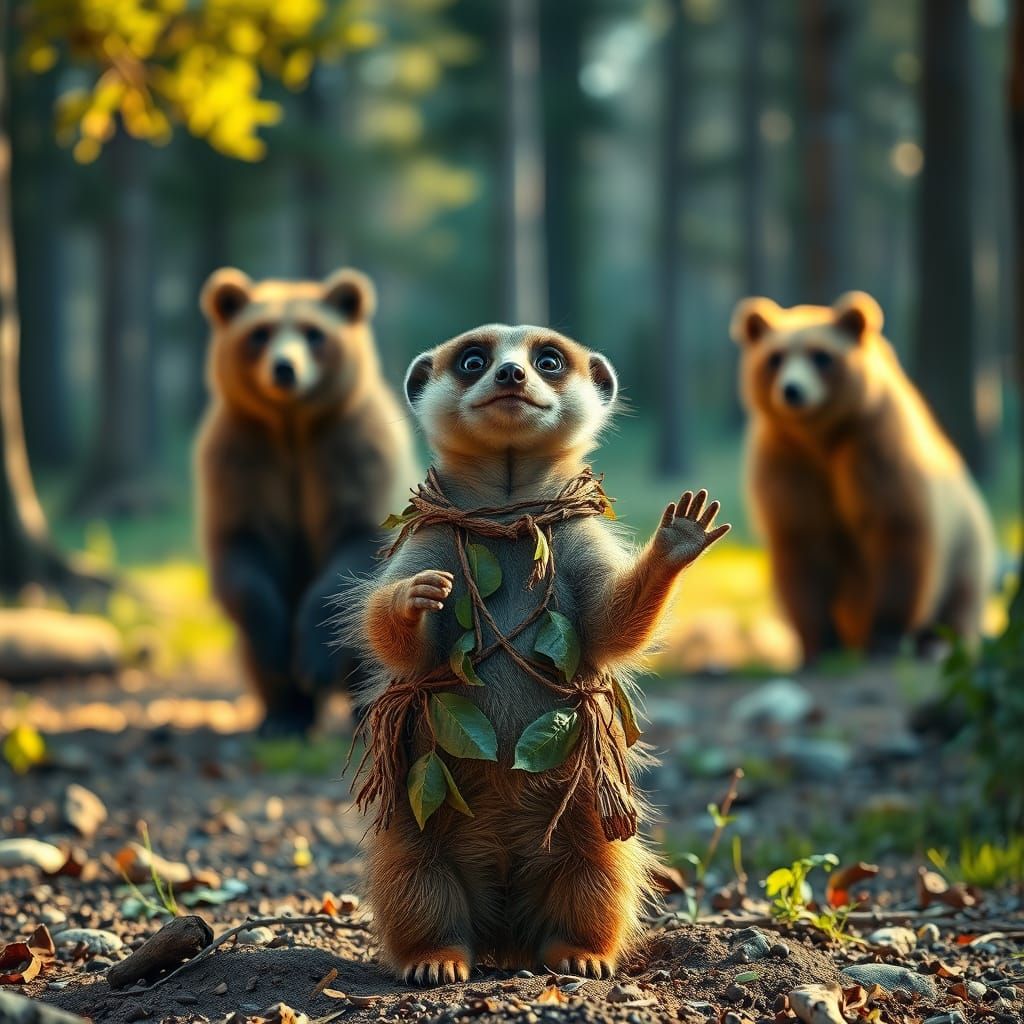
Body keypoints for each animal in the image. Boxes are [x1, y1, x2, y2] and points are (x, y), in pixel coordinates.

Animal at [196, 267, 416, 734]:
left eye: (313, 332)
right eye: (260, 332)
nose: (285, 368)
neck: (292, 428)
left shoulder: (350, 450)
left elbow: (356, 542)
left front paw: (312, 656)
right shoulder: (241, 459)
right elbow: (242, 549)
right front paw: (279, 652)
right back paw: (283, 716)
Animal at [731, 290, 996, 660]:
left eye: (821, 355)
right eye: (775, 357)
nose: (792, 390)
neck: (821, 438)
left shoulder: (873, 448)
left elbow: (895, 533)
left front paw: (886, 633)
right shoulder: (788, 463)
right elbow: (803, 544)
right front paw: (818, 643)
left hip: (966, 543)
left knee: (962, 597)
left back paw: (938, 641)